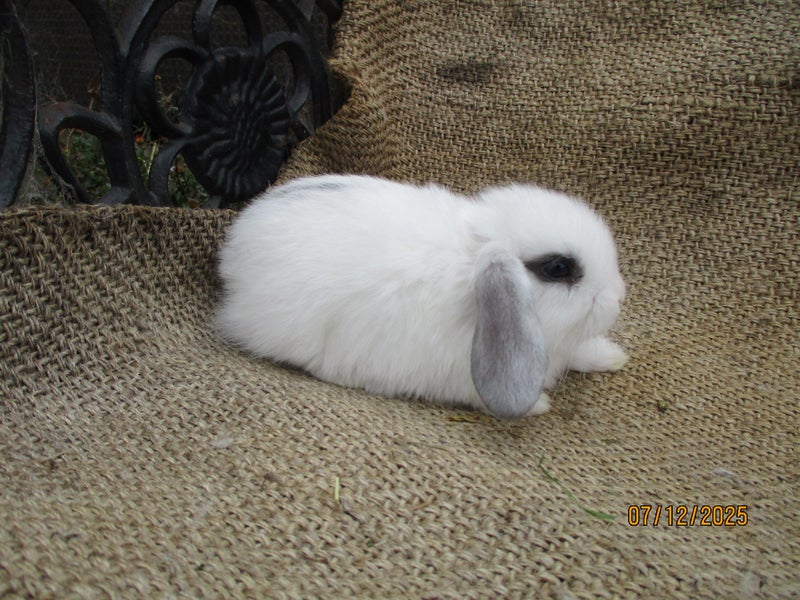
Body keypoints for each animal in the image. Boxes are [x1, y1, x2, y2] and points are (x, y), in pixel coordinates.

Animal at [216, 174, 628, 419]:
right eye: (558, 268)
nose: (618, 296)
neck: (469, 270)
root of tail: (235, 248)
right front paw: (539, 404)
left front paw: (612, 356)